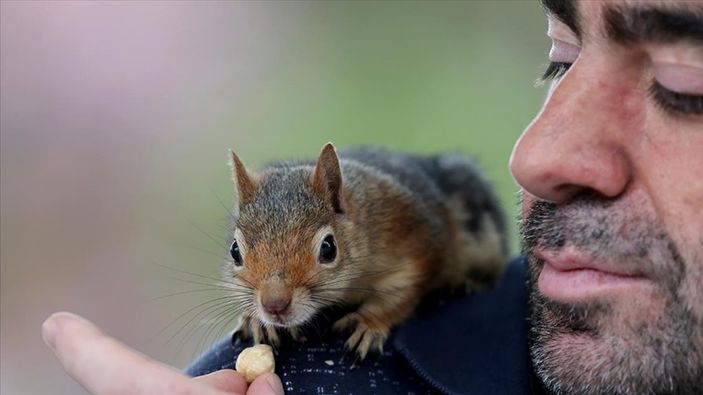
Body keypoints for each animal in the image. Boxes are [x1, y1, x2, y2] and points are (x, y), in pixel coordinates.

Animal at [224, 144, 506, 360]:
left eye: (328, 248)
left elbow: (402, 291)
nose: (274, 305)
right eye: (235, 251)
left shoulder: (415, 243)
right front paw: (256, 319)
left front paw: (369, 324)